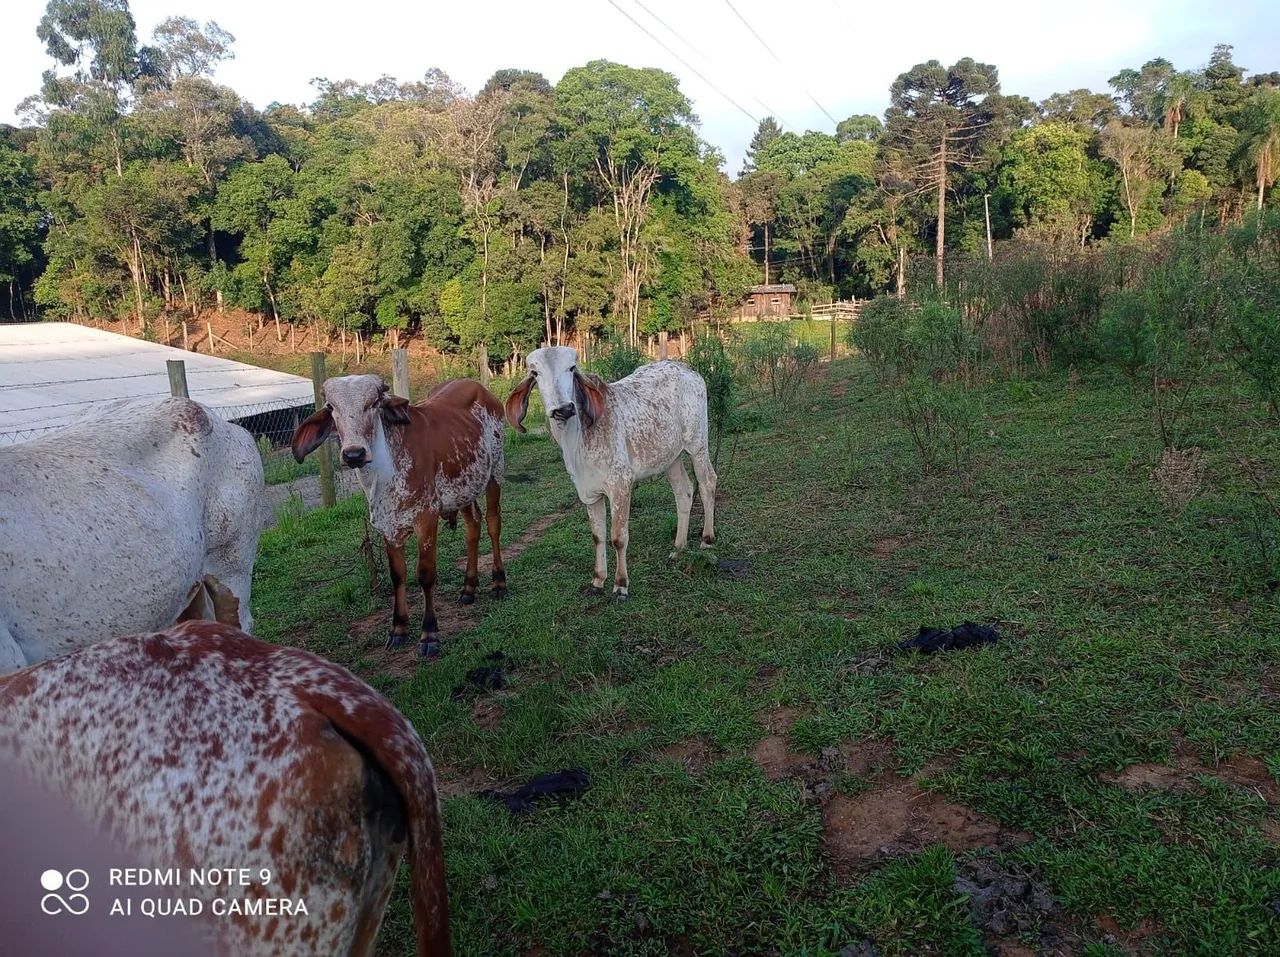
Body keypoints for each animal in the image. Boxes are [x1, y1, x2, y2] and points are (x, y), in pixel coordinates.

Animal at [291, 375, 506, 659]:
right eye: (331, 407)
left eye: (373, 403)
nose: (353, 454)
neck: (384, 474)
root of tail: (478, 387)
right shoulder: (387, 527)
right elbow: (397, 576)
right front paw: (398, 629)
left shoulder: (426, 519)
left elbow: (425, 575)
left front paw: (429, 634)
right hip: (464, 487)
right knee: (473, 526)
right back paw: (468, 588)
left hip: (495, 472)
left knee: (493, 523)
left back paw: (499, 583)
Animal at [505, 347, 716, 600]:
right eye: (535, 373)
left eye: (572, 368)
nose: (563, 409)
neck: (577, 441)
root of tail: (688, 370)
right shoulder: (589, 492)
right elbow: (598, 537)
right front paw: (597, 581)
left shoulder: (621, 485)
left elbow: (618, 537)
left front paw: (621, 585)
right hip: (670, 458)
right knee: (684, 491)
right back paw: (678, 549)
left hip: (697, 444)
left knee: (708, 482)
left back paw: (707, 540)